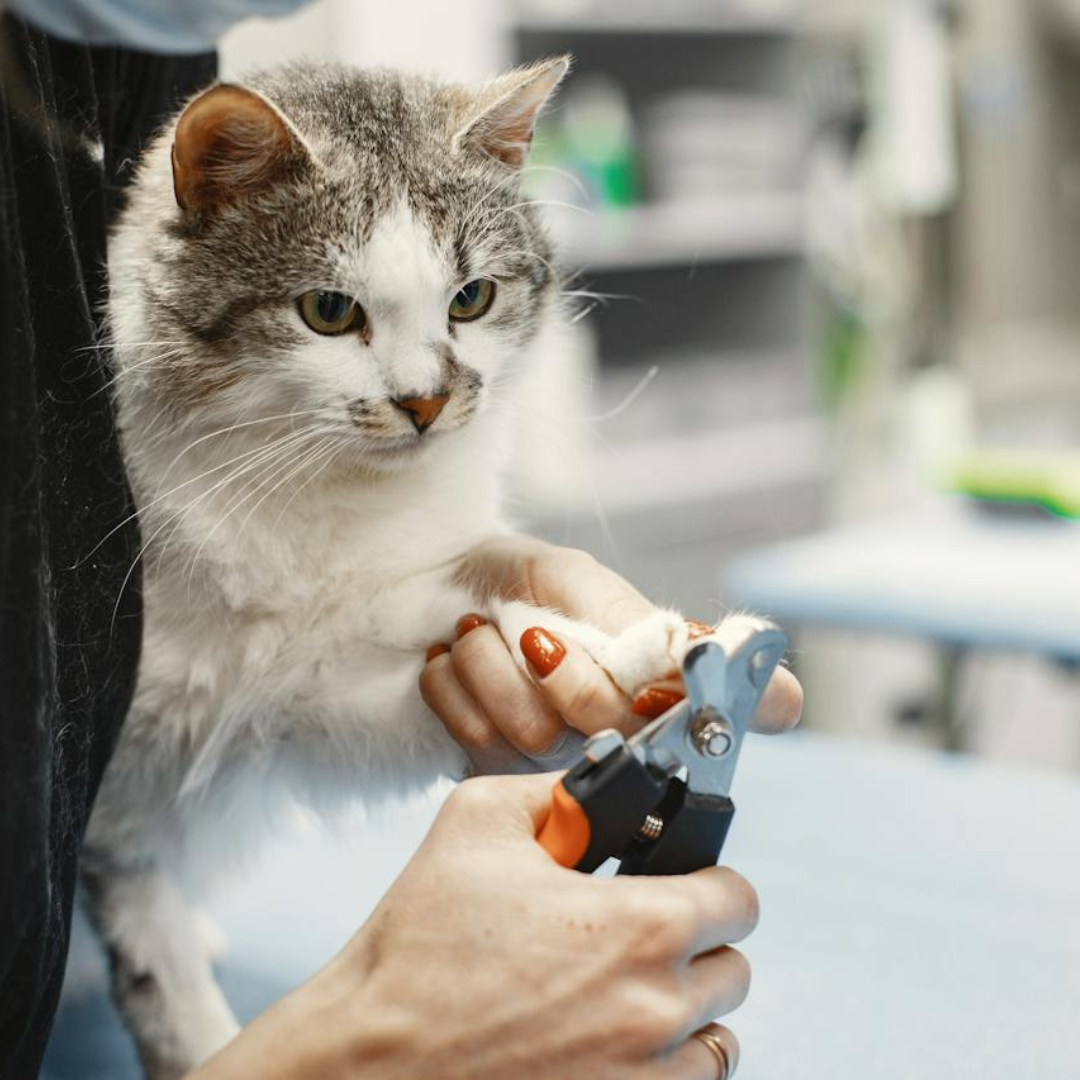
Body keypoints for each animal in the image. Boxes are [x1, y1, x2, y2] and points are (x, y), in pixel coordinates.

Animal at [82, 61, 725, 1080]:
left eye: (471, 298)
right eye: (328, 311)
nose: (426, 401)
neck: (311, 503)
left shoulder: (314, 698)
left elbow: (484, 635)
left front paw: (630, 658)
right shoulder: (124, 794)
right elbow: (159, 957)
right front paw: (199, 1033)